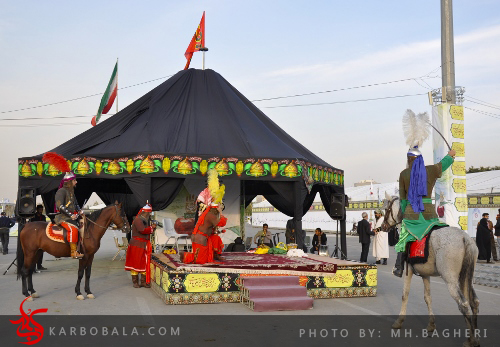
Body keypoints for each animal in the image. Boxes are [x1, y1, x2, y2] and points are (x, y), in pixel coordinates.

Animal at [382, 193, 480, 347]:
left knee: (463, 304)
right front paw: (431, 325)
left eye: (386, 209)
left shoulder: (409, 271)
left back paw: (471, 340)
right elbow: (427, 298)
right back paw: (475, 336)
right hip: (466, 278)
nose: (383, 226)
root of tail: (465, 238)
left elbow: (405, 295)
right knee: (473, 301)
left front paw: (399, 321)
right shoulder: (425, 274)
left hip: (451, 280)